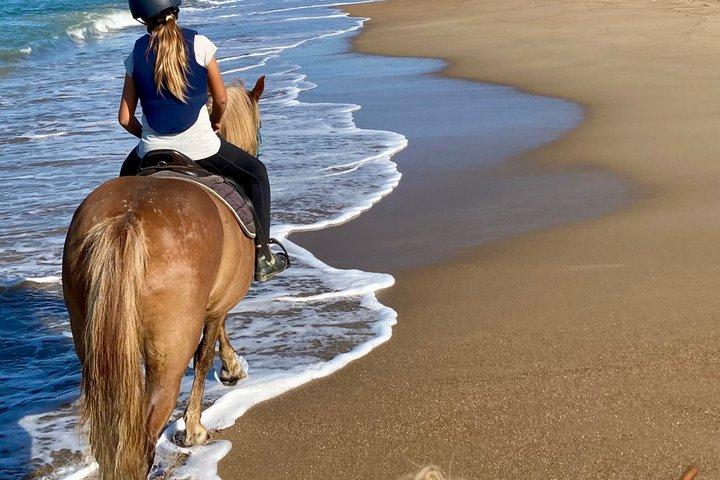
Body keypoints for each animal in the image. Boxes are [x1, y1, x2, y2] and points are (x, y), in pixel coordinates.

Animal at [61, 76, 266, 480]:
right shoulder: (216, 305)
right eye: (260, 127)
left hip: (91, 345)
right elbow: (205, 352)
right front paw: (196, 425)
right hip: (168, 351)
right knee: (145, 432)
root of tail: (128, 219)